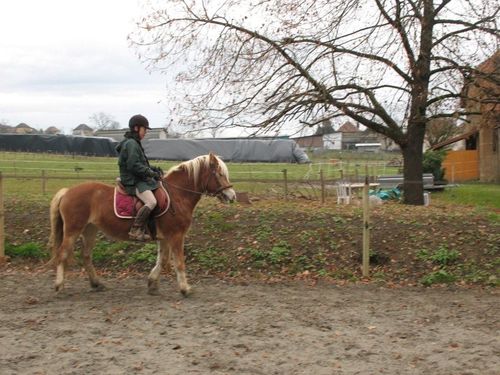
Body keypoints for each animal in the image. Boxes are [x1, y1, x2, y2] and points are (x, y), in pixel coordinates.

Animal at [47, 153, 235, 296]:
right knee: (63, 254)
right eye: (219, 174)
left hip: (90, 229)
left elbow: (162, 260)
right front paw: (185, 289)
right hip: (73, 230)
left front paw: (152, 284)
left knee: (86, 255)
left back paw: (96, 284)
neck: (178, 195)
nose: (231, 196)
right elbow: (179, 262)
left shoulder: (165, 237)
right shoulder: (176, 236)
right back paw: (59, 286)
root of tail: (67, 191)